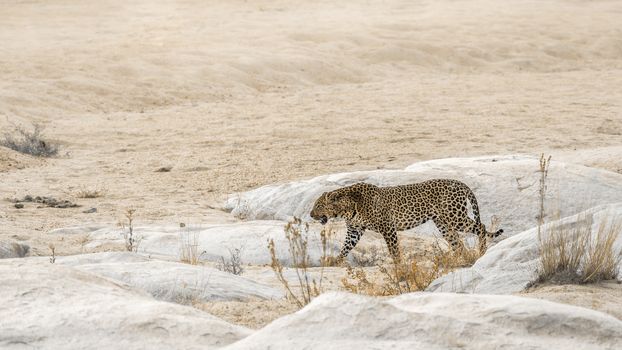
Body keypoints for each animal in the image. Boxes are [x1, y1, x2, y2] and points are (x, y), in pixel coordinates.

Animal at [310, 179, 504, 264]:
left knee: (481, 226)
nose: (311, 215)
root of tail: (460, 183)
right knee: (457, 242)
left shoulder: (388, 228)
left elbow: (394, 250)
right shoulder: (354, 231)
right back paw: (456, 258)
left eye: (318, 205)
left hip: (455, 216)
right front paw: (335, 261)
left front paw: (398, 266)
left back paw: (481, 251)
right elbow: (345, 247)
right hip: (443, 223)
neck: (346, 209)